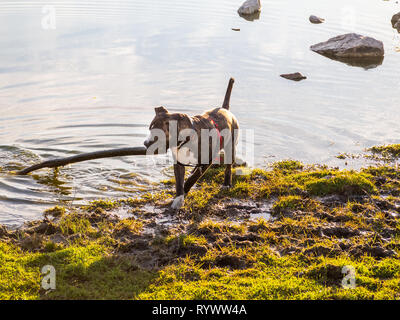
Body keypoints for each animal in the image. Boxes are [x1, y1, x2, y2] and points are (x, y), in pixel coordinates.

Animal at [143, 78, 238, 210]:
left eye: (158, 134)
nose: (145, 143)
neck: (186, 141)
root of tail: (225, 110)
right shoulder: (178, 162)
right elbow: (179, 182)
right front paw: (178, 199)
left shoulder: (206, 161)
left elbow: (192, 179)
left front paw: (186, 188)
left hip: (231, 147)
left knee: (228, 166)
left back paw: (226, 184)